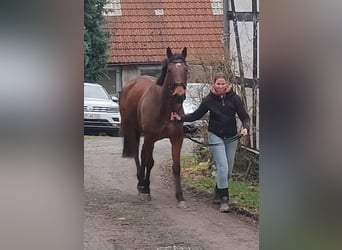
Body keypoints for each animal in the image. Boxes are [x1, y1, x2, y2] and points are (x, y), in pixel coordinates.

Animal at [119, 46, 188, 207]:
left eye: (185, 69)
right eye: (169, 70)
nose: (179, 95)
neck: (165, 109)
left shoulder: (177, 138)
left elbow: (176, 167)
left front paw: (180, 196)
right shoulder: (150, 137)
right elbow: (150, 162)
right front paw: (146, 190)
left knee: (143, 154)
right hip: (132, 130)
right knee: (137, 155)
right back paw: (141, 183)